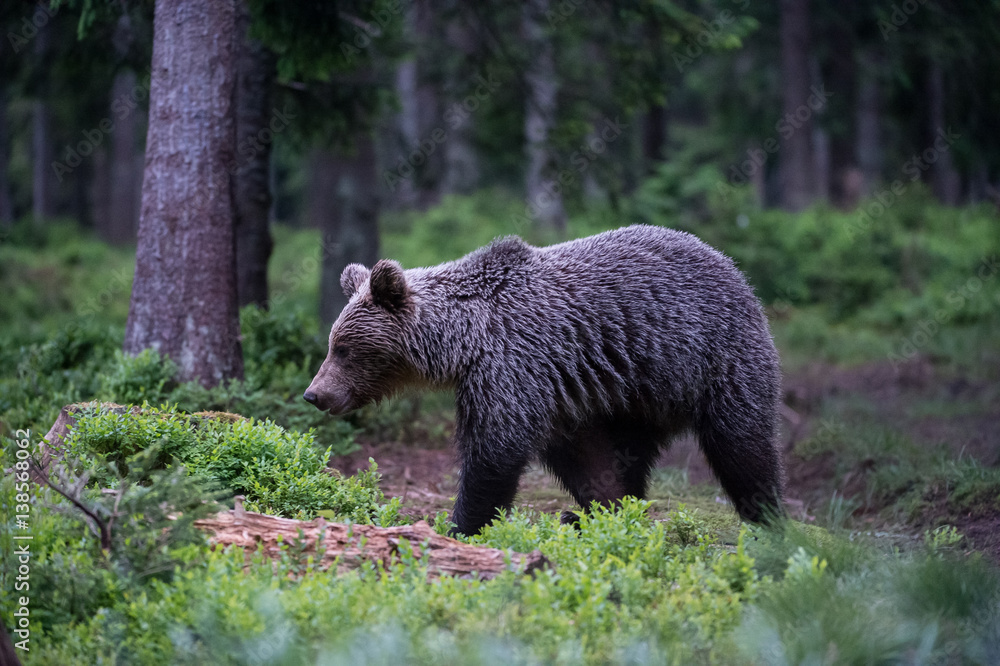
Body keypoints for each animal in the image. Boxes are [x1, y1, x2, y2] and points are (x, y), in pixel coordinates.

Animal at [300, 224, 784, 536]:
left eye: (343, 349)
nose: (314, 394)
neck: (462, 343)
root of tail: (733, 267)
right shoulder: (560, 394)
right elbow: (584, 460)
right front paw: (592, 510)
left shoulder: (511, 366)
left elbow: (494, 452)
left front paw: (460, 525)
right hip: (627, 396)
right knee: (621, 458)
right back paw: (596, 514)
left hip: (711, 359)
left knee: (742, 443)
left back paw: (768, 518)